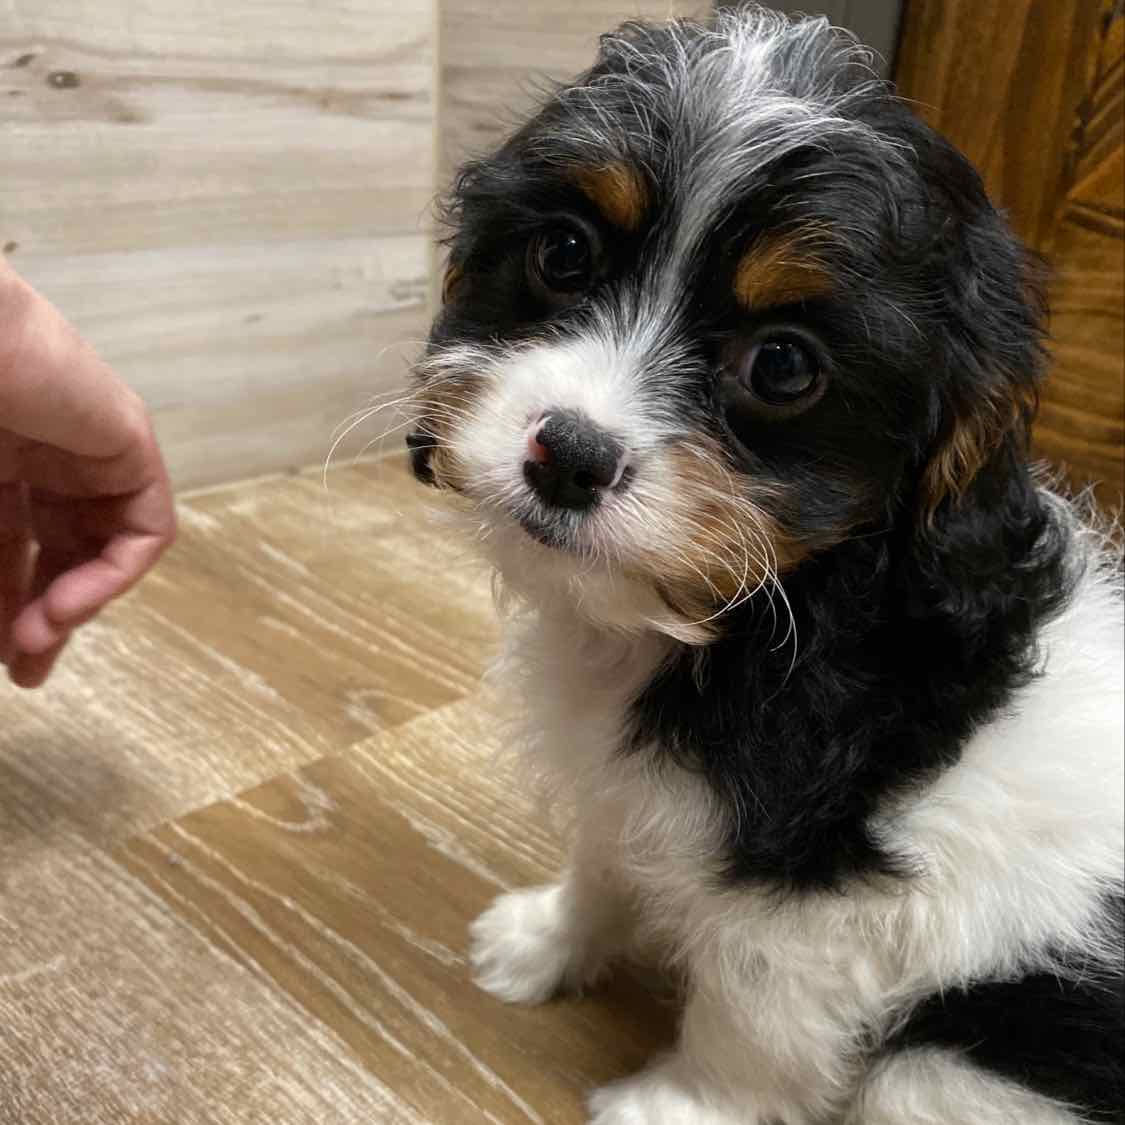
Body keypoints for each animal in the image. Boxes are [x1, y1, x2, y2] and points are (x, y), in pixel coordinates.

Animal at [406, 8, 1124, 1123]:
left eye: (783, 366)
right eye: (563, 253)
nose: (569, 454)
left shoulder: (811, 891)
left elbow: (752, 1010)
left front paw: (681, 1104)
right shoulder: (634, 786)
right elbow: (606, 854)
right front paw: (547, 941)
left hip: (951, 1069)